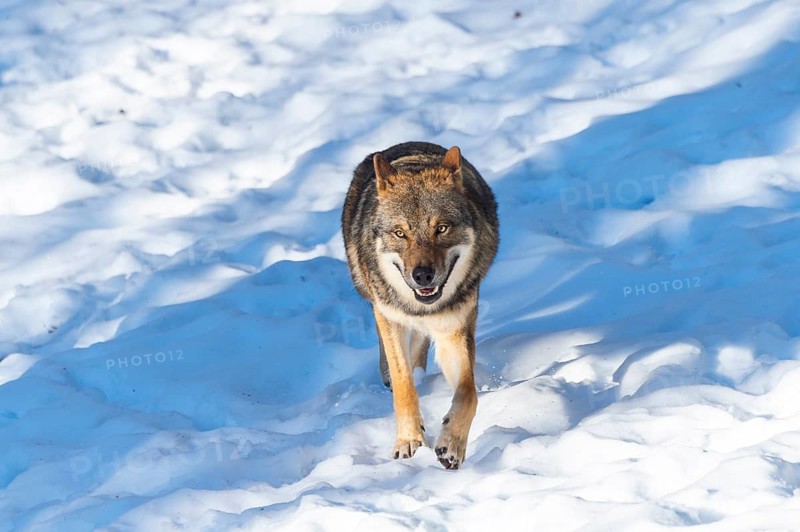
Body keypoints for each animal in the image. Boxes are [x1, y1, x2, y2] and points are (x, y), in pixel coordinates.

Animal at [341, 141, 499, 469]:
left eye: (441, 228)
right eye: (401, 233)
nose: (423, 275)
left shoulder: (454, 329)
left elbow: (468, 393)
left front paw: (451, 446)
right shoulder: (389, 315)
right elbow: (403, 387)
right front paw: (409, 442)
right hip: (368, 292)